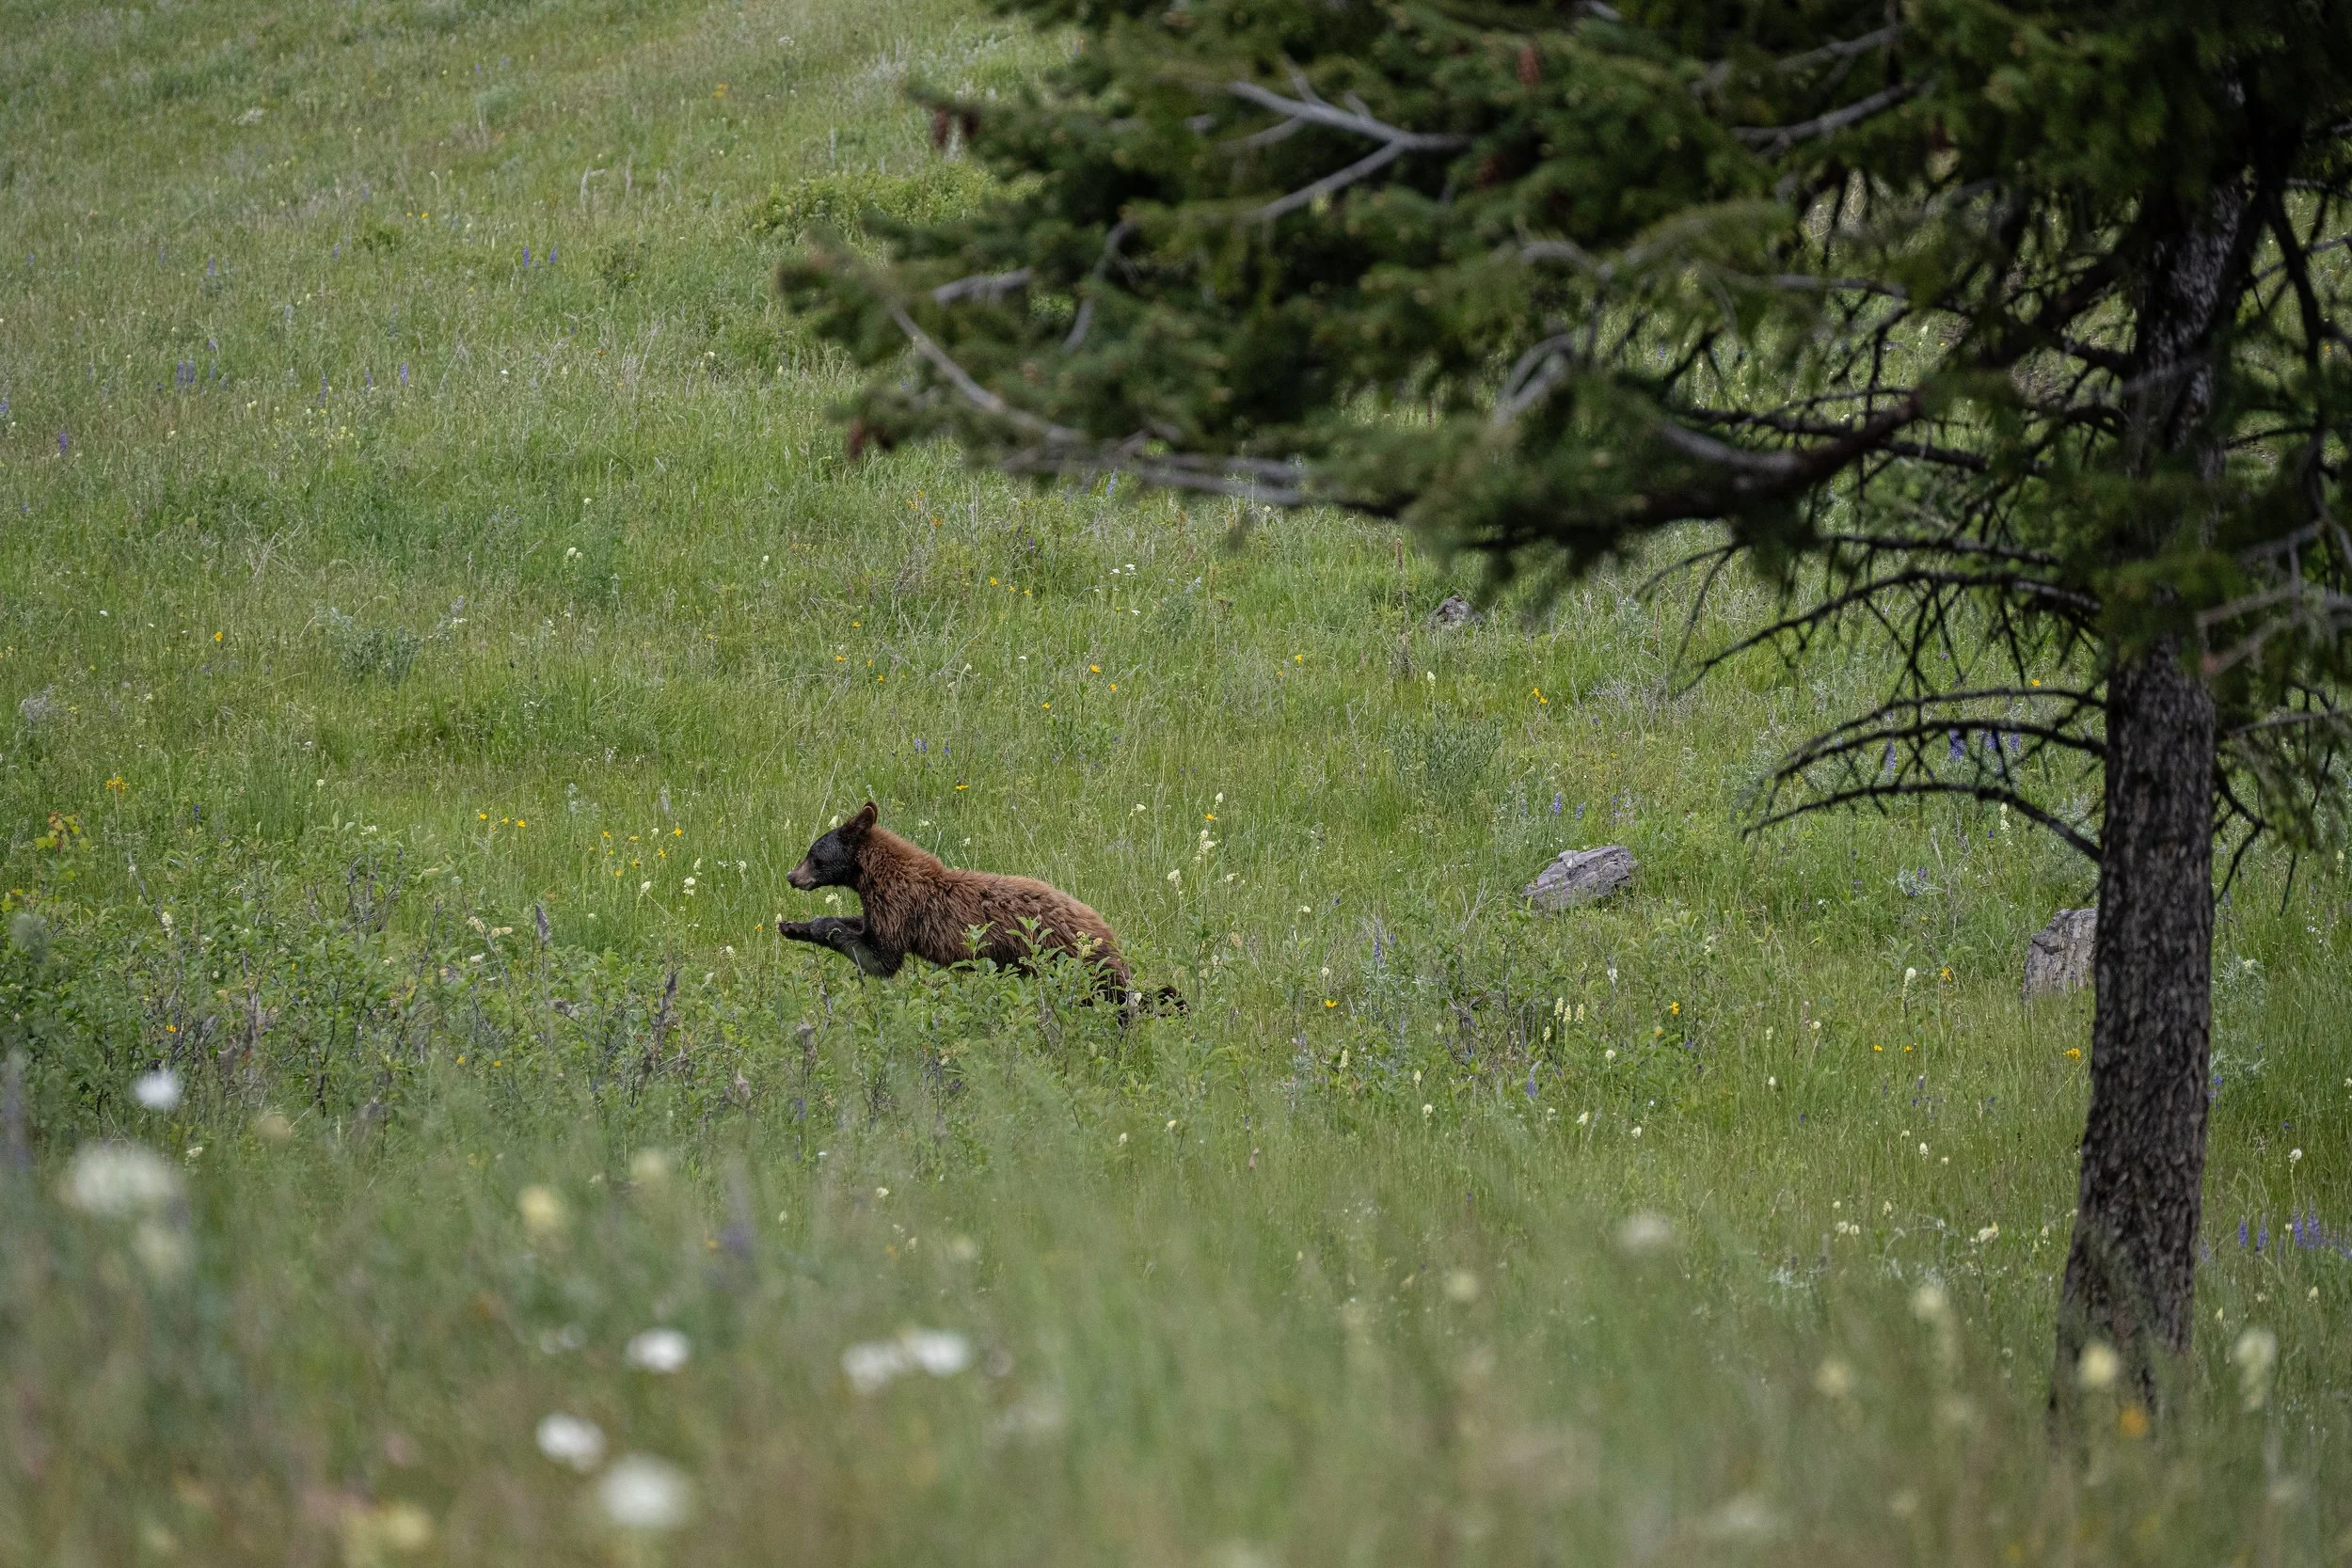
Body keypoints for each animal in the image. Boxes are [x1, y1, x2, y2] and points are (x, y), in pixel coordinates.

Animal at [778, 801, 1181, 1015]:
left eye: (813, 855)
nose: (790, 876)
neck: (876, 876)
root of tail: (1108, 932)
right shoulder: (880, 909)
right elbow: (860, 928)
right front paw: (794, 926)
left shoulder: (901, 907)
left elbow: (881, 956)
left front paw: (812, 927)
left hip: (1072, 961)